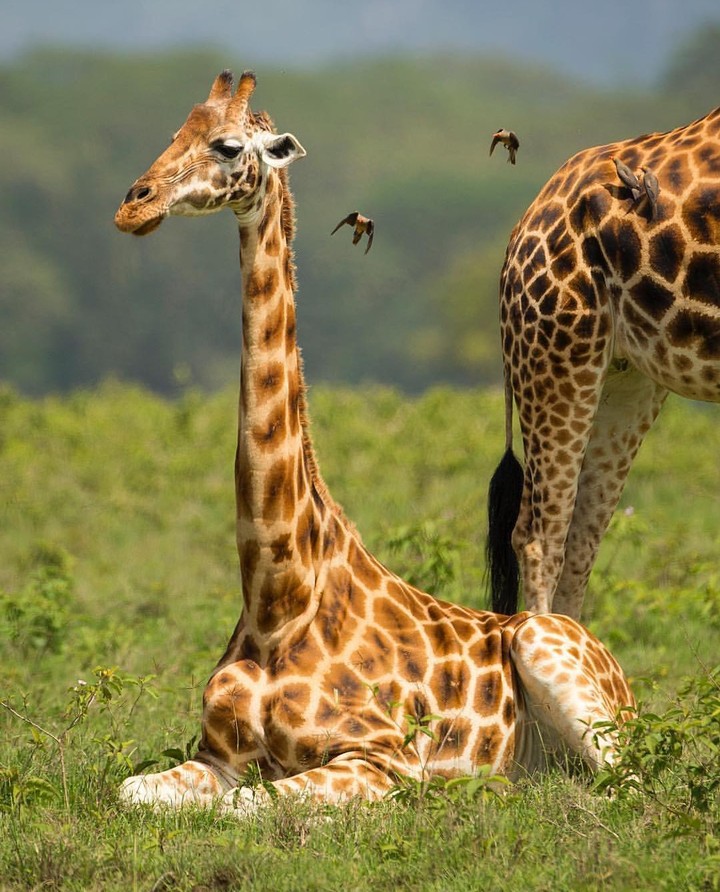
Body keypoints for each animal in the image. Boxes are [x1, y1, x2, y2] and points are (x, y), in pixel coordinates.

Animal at [114, 70, 633, 814]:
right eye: (174, 130)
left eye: (227, 145)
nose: (135, 206)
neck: (277, 598)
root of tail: (622, 672)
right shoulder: (216, 757)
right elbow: (135, 791)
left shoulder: (379, 758)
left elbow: (252, 807)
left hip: (552, 655)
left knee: (627, 788)